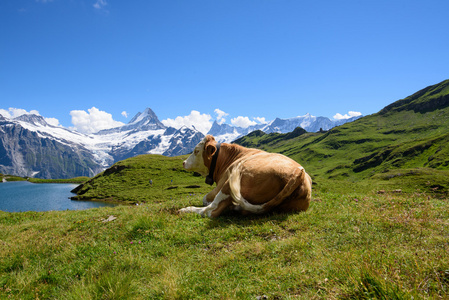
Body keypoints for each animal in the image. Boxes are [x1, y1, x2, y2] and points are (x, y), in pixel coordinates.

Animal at [178, 136, 312, 218]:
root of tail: (297, 174)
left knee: (211, 210)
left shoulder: (220, 185)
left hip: (230, 184)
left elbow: (205, 198)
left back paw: (186, 210)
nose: (183, 162)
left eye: (196, 151)